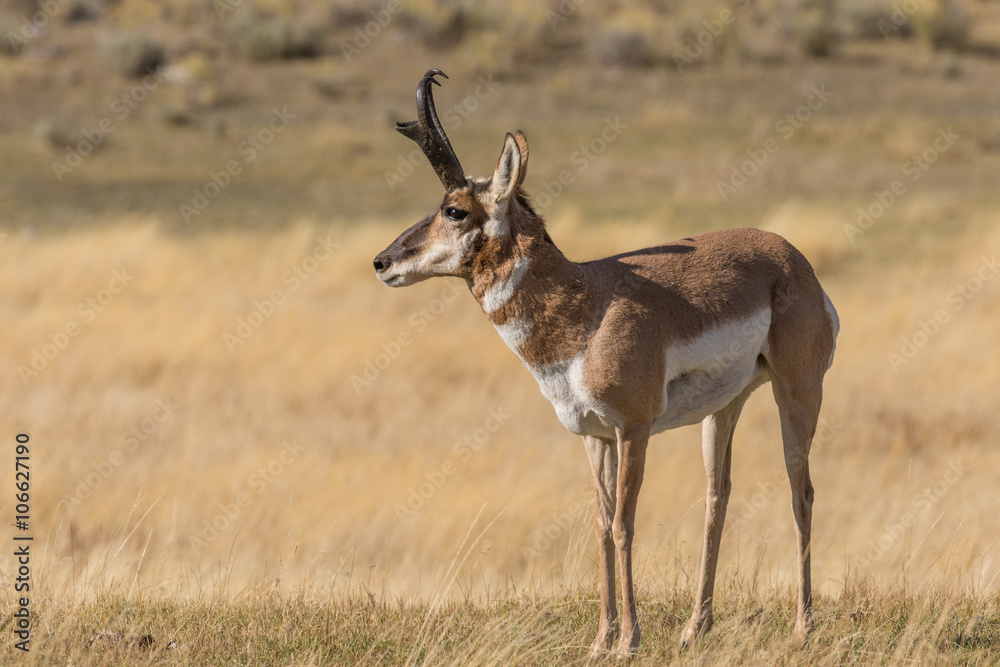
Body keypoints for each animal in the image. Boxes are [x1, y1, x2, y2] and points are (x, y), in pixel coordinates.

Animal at [374, 69, 839, 657]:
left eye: (455, 209)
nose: (382, 261)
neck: (587, 305)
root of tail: (793, 259)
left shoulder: (633, 429)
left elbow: (624, 523)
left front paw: (629, 641)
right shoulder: (593, 436)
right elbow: (599, 525)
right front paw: (601, 640)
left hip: (797, 392)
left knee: (801, 491)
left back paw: (803, 627)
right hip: (723, 409)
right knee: (717, 497)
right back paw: (695, 628)